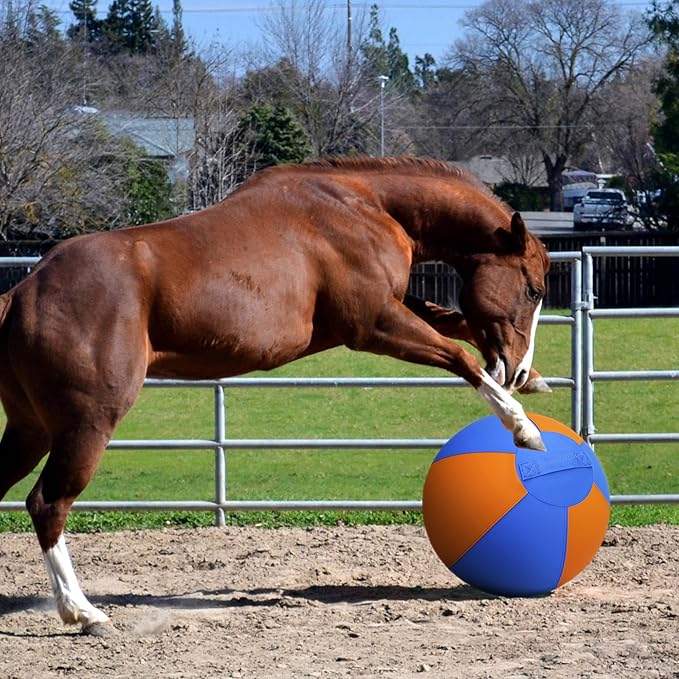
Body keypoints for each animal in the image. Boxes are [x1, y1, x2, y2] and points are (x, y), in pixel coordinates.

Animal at [0, 157, 549, 634]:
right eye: (535, 290)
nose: (516, 366)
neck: (364, 205)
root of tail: (23, 293)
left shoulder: (388, 309)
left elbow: (451, 321)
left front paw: (532, 380)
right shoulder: (373, 323)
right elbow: (459, 357)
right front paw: (524, 427)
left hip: (30, 430)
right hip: (87, 424)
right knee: (48, 502)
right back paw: (83, 612)